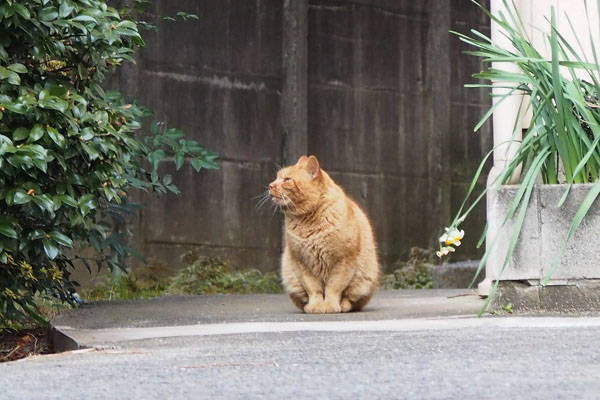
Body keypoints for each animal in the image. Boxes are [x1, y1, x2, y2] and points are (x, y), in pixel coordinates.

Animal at [268, 155, 378, 314]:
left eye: (287, 179)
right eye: (277, 177)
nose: (270, 185)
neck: (308, 222)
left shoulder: (344, 261)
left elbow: (334, 287)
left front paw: (330, 305)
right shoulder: (303, 263)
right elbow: (314, 289)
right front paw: (316, 306)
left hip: (365, 279)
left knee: (352, 300)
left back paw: (343, 306)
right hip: (290, 275)